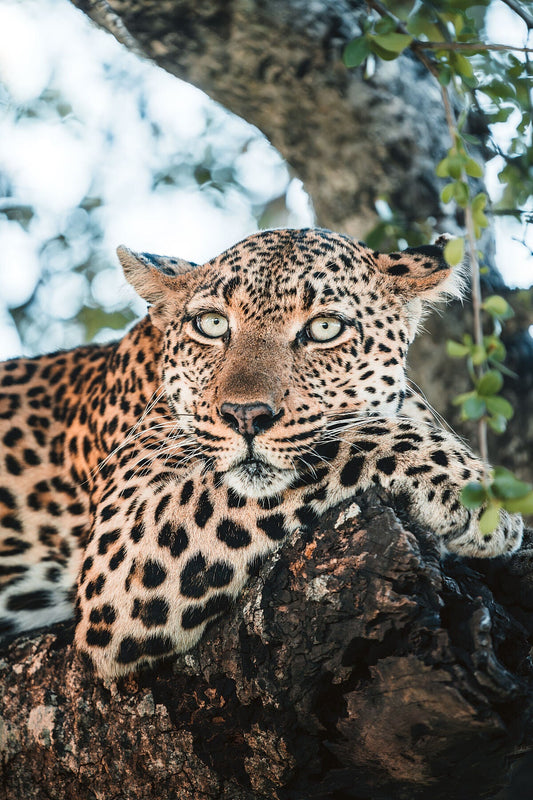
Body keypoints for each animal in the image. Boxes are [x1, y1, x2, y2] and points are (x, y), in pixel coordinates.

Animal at [0, 228, 524, 680]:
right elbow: (351, 437)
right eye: (212, 324)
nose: (245, 415)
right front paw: (476, 491)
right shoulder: (120, 554)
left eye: (324, 328)